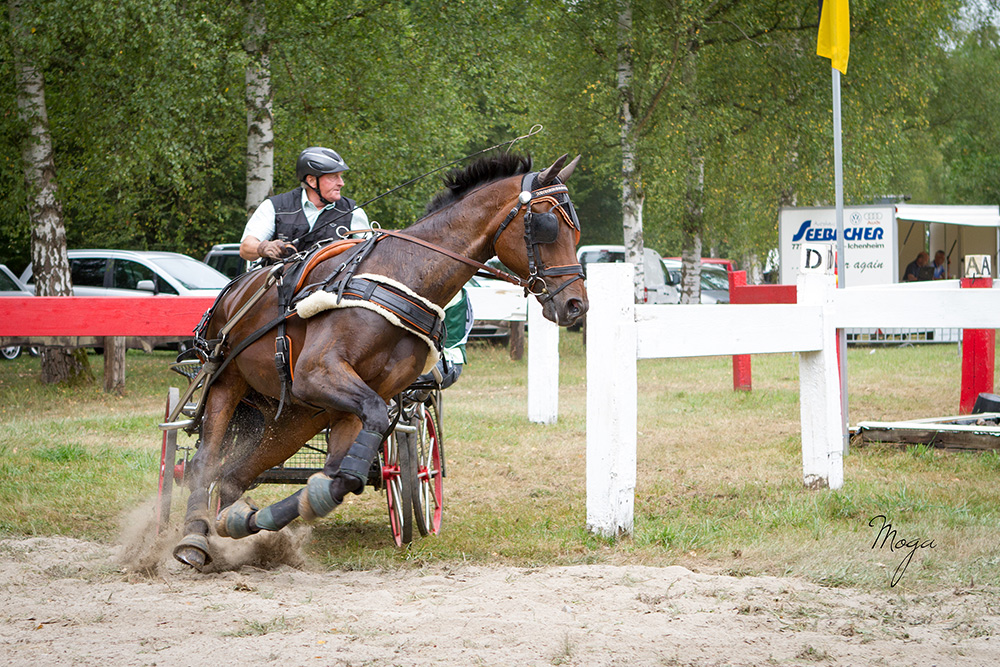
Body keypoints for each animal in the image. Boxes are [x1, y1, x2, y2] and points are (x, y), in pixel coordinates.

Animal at [176, 153, 588, 568]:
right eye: (548, 225)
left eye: (577, 232)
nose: (576, 305)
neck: (401, 277)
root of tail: (230, 293)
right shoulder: (319, 374)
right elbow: (364, 432)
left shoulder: (348, 408)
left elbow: (341, 476)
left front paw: (260, 517)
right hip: (228, 383)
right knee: (203, 462)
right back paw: (193, 537)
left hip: (296, 417)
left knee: (235, 474)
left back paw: (232, 529)